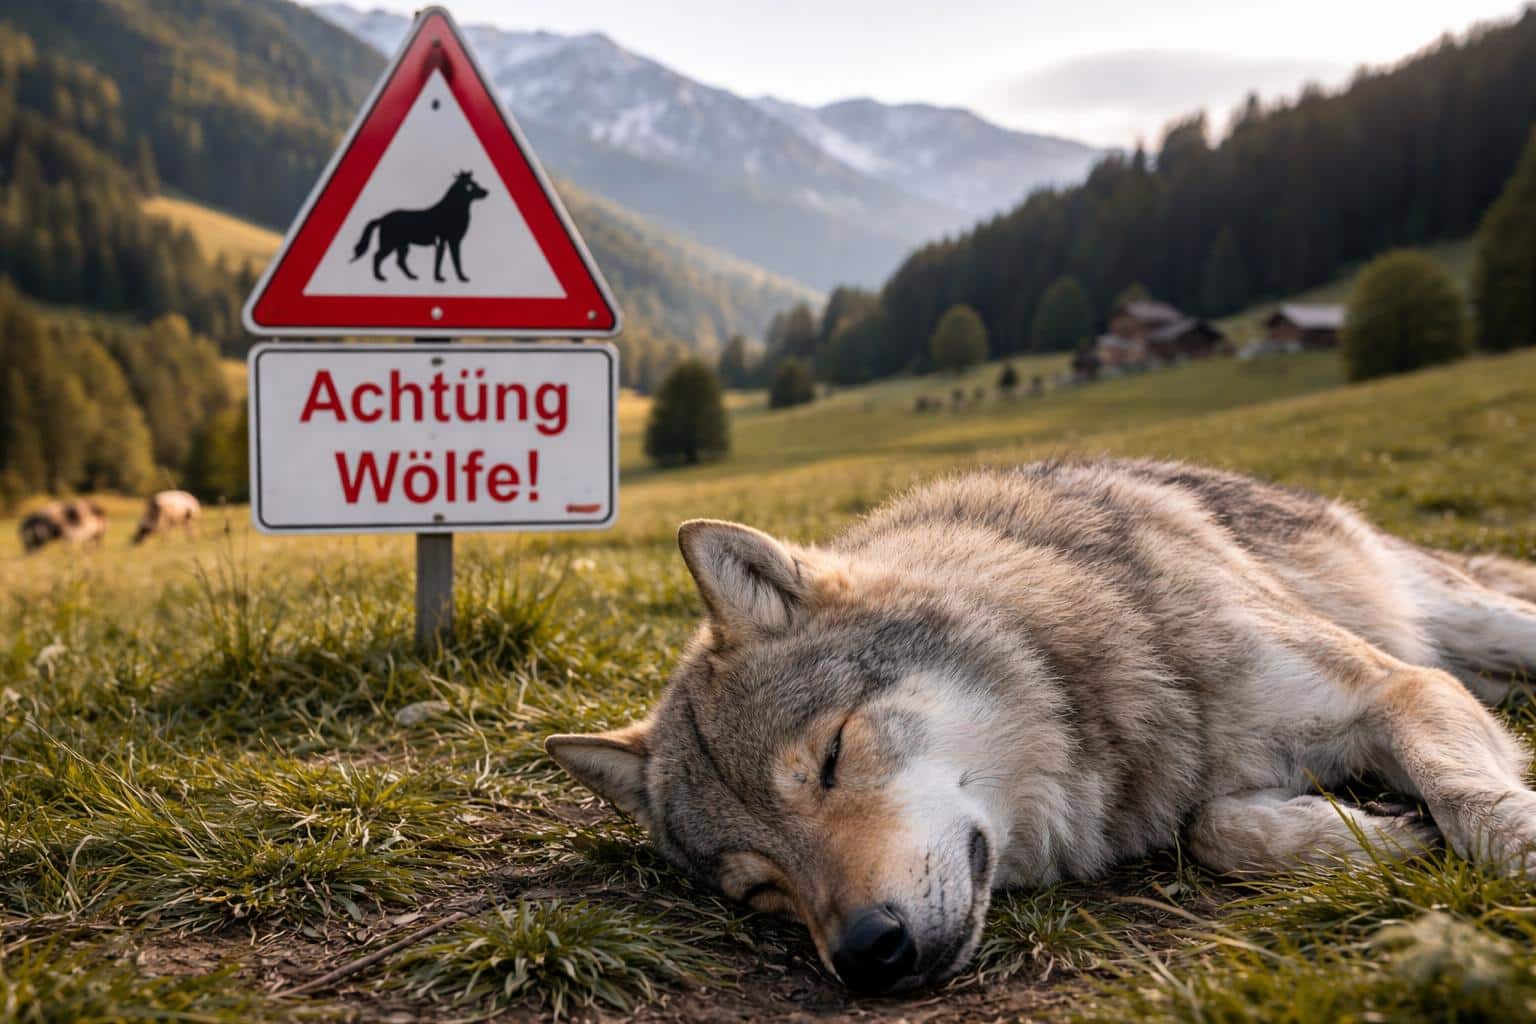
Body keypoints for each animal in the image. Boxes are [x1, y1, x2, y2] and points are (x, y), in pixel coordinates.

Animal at [547, 459, 1536, 994]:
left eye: (832, 757)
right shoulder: (1205, 790)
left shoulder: (1402, 689)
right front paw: (1368, 836)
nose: (867, 954)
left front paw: (1511, 847)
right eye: (759, 890)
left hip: (1469, 620)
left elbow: (1468, 796)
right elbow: (1214, 827)